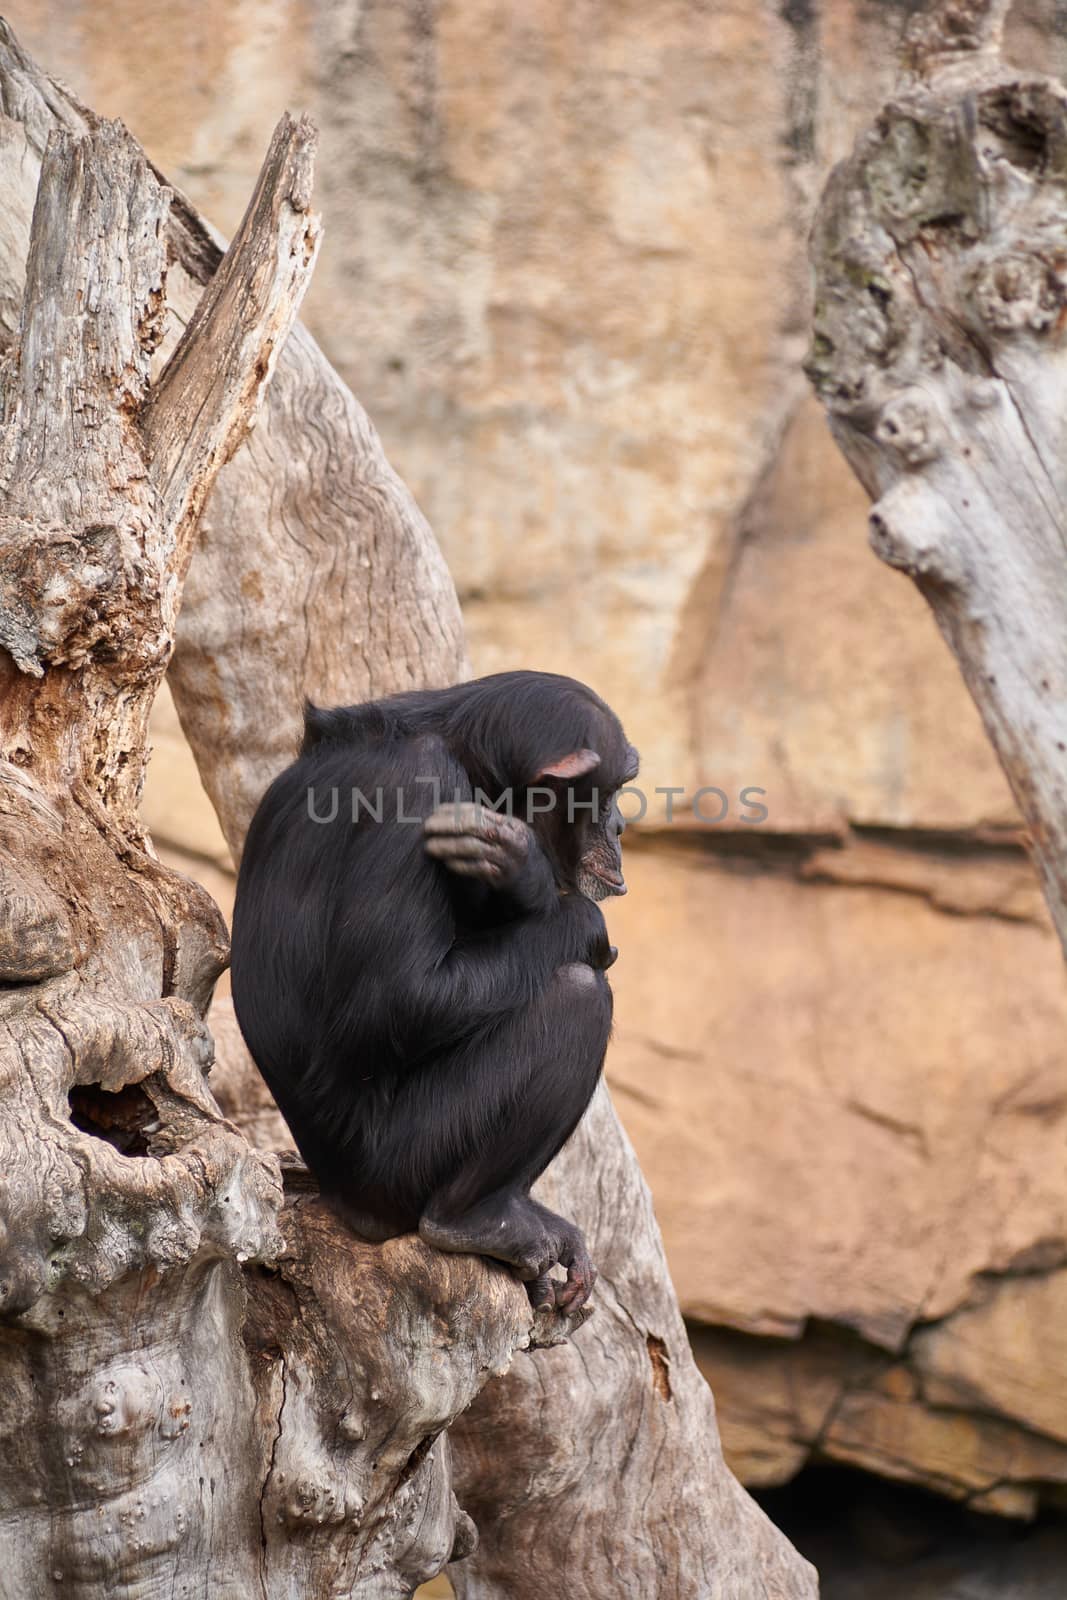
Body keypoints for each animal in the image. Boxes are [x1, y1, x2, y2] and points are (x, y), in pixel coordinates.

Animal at [230, 668, 639, 1305]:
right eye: (613, 790)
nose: (622, 824)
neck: (473, 764)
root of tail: (340, 1202)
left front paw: (518, 874)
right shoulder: (419, 791)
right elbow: (402, 996)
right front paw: (550, 893)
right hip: (399, 1169)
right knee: (576, 993)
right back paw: (476, 1219)